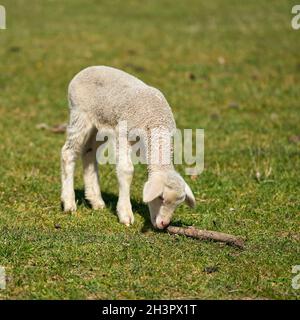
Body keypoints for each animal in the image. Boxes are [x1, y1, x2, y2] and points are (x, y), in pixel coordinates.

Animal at [61, 66, 197, 229]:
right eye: (160, 198)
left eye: (178, 204)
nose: (163, 224)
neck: (156, 121)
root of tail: (86, 69)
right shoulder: (122, 134)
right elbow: (126, 170)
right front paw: (125, 214)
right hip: (79, 115)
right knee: (68, 152)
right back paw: (69, 203)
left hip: (100, 124)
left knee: (89, 152)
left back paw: (96, 200)